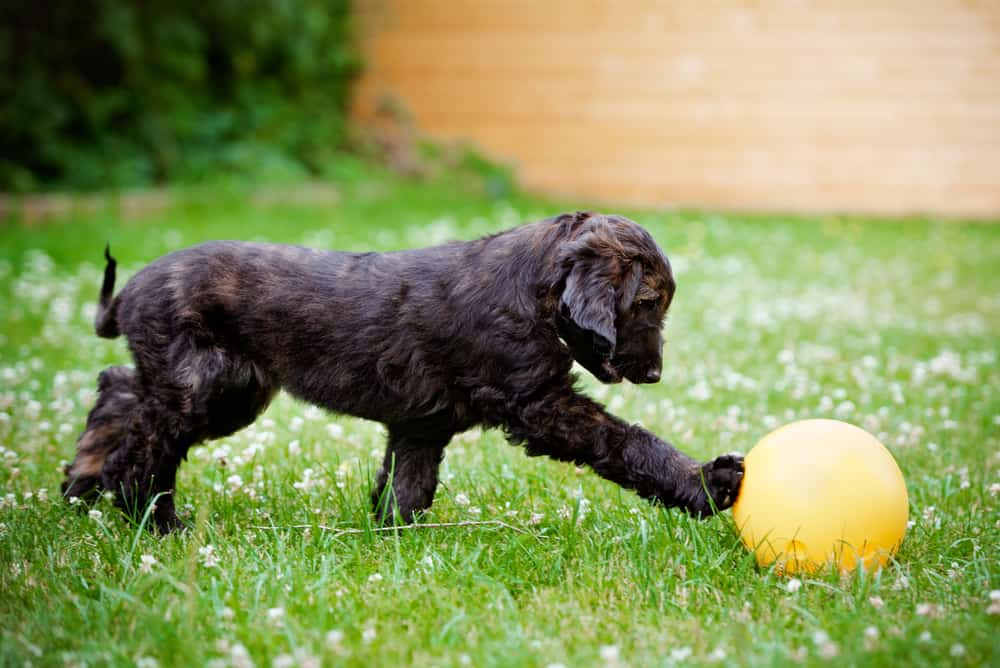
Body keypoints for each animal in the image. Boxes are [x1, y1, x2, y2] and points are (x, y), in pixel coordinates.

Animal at [62, 211, 744, 536]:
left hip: (230, 389)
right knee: (145, 446)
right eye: (647, 303)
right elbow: (625, 441)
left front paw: (393, 540)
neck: (534, 287)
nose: (653, 374)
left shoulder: (421, 424)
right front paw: (708, 483)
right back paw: (155, 522)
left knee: (120, 390)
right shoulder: (539, 404)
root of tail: (131, 292)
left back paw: (80, 479)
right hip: (204, 385)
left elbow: (408, 485)